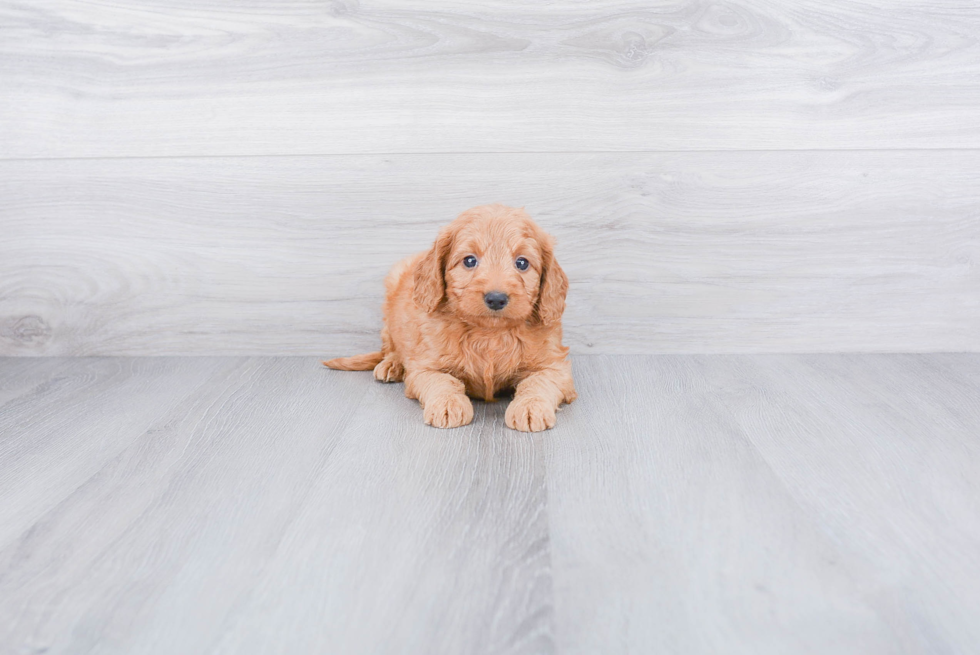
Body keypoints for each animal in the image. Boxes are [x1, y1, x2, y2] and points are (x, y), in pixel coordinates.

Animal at [326, 204, 580, 430]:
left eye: (522, 263)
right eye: (469, 260)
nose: (496, 298)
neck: (489, 333)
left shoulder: (556, 366)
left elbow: (538, 382)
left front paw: (530, 407)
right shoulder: (424, 366)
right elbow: (443, 381)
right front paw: (447, 404)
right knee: (390, 346)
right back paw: (392, 364)